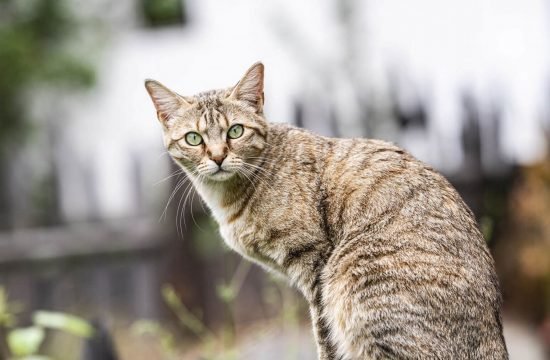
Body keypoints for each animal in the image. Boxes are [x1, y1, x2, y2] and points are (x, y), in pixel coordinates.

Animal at [144, 63, 512, 358]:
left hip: (358, 289)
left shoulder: (316, 267)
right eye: (194, 138)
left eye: (235, 131)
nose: (218, 156)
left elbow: (324, 338)